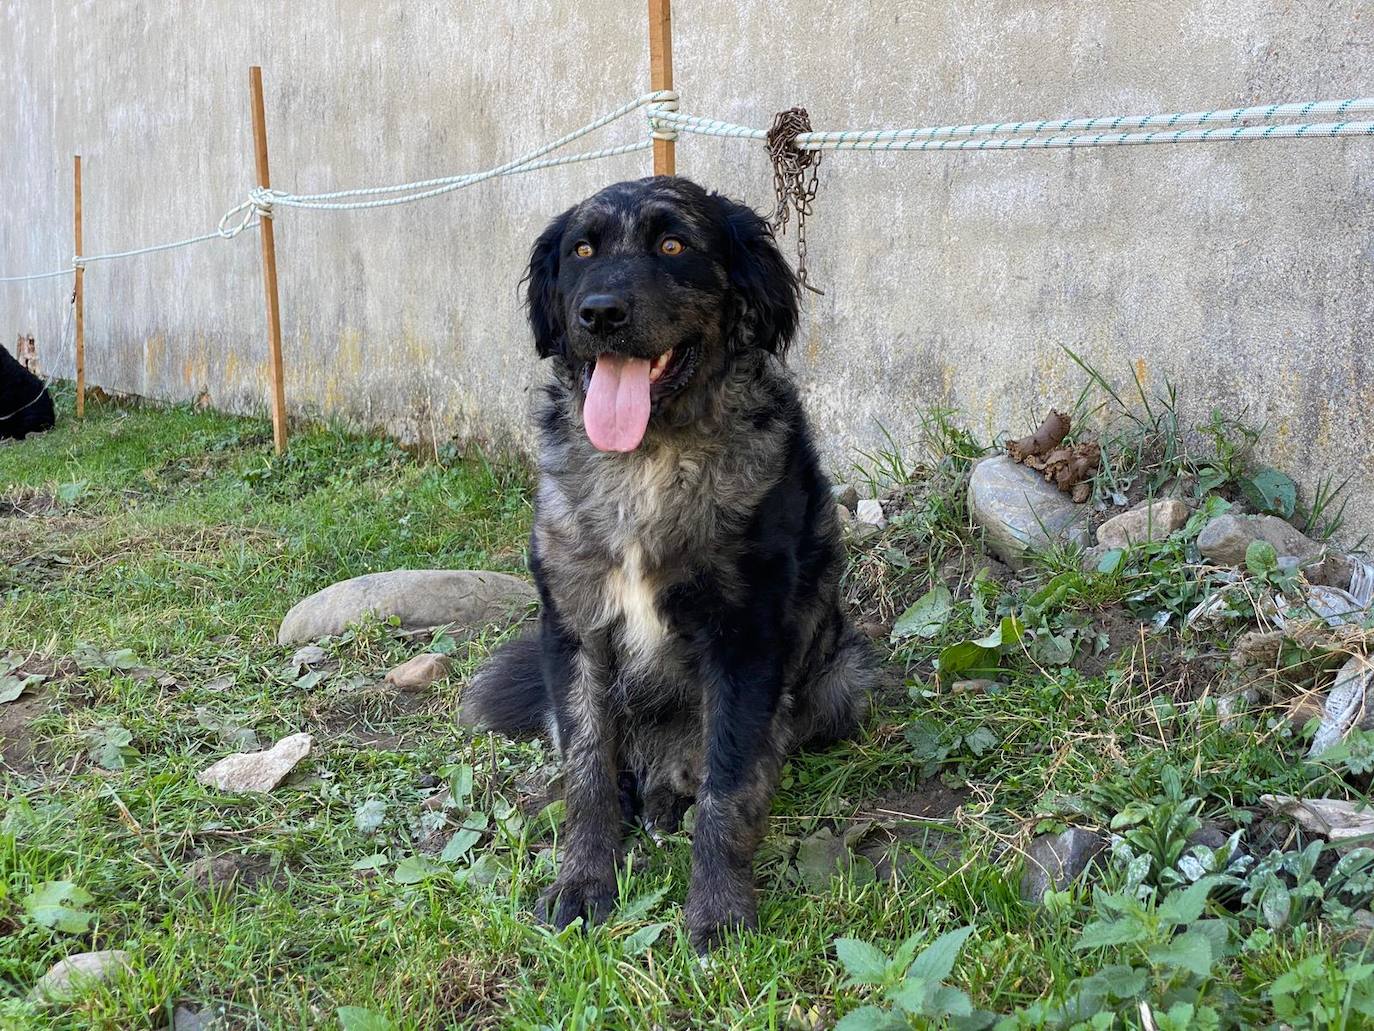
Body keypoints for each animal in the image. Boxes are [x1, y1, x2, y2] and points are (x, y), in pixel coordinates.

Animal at [458, 175, 868, 951]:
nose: (599, 312)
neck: (645, 461)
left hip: (844, 678)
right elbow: (586, 770)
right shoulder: (574, 631)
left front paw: (718, 911)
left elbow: (729, 786)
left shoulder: (744, 642)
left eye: (674, 245)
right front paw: (583, 882)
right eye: (582, 250)